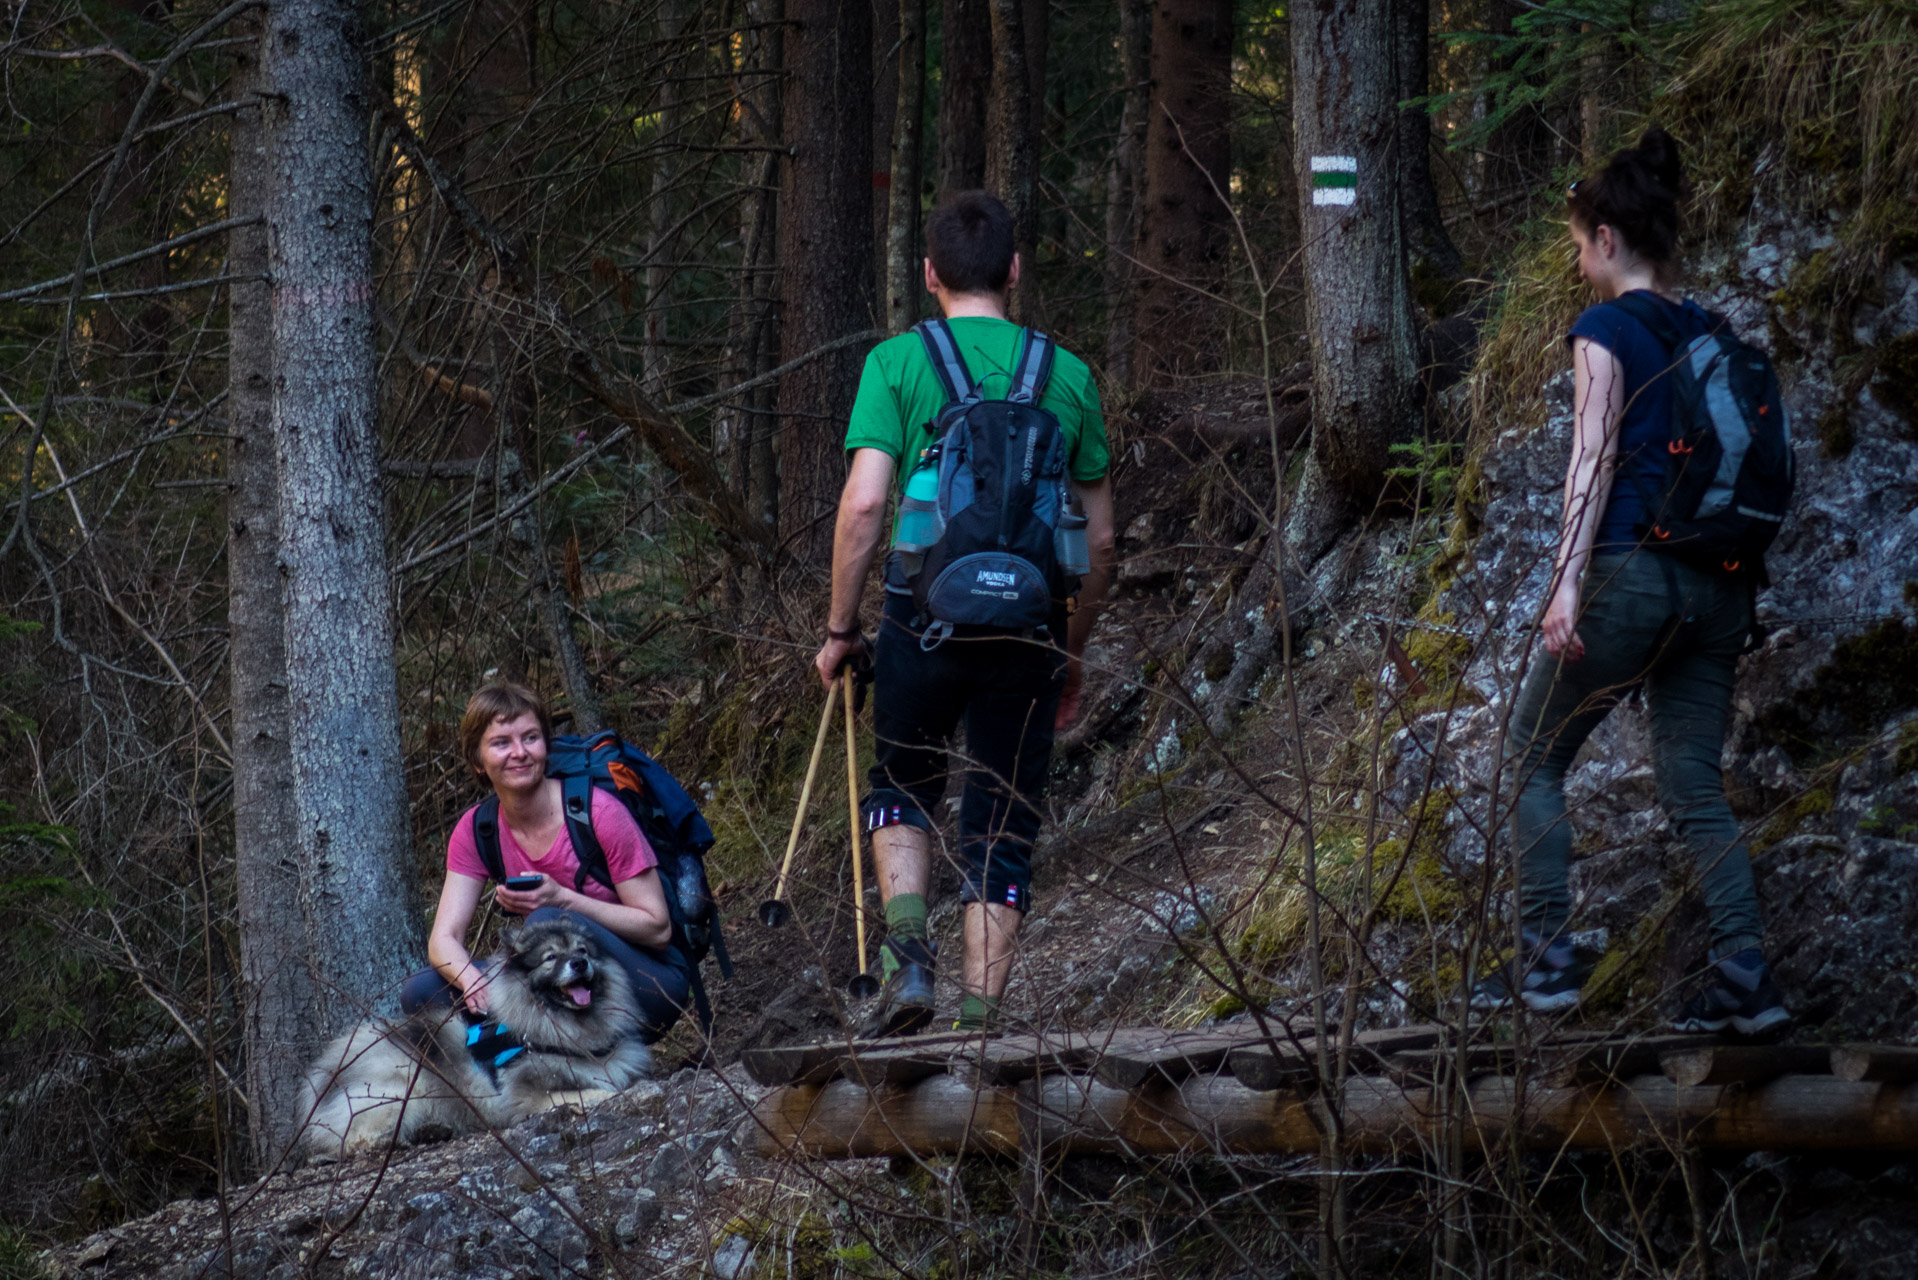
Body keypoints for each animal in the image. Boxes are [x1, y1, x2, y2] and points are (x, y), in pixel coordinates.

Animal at [297, 917, 652, 1166]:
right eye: (550, 957)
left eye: (582, 951)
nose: (579, 963)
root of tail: (323, 1080)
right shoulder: (527, 1095)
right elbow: (595, 1092)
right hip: (402, 1088)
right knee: (353, 1140)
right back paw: (394, 1140)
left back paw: (431, 1131)